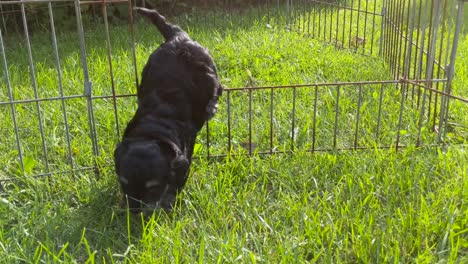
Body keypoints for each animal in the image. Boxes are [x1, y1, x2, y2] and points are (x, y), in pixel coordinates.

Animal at [114, 6, 223, 212]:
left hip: (208, 69)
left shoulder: (184, 158)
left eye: (153, 187)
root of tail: (178, 36)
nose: (135, 212)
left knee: (217, 87)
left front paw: (168, 201)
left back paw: (211, 106)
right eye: (124, 184)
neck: (154, 128)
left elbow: (176, 184)